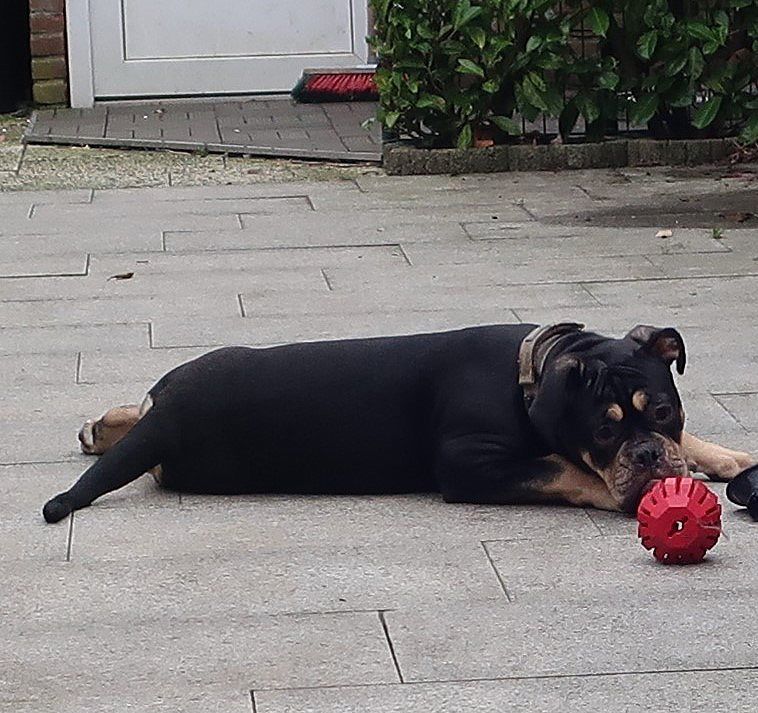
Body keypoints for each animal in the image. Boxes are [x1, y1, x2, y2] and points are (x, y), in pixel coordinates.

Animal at [42, 323, 755, 523]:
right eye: (604, 433)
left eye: (664, 411)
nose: (649, 457)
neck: (536, 372)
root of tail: (170, 410)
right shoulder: (468, 463)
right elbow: (562, 468)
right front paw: (620, 492)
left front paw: (727, 458)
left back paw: (102, 426)